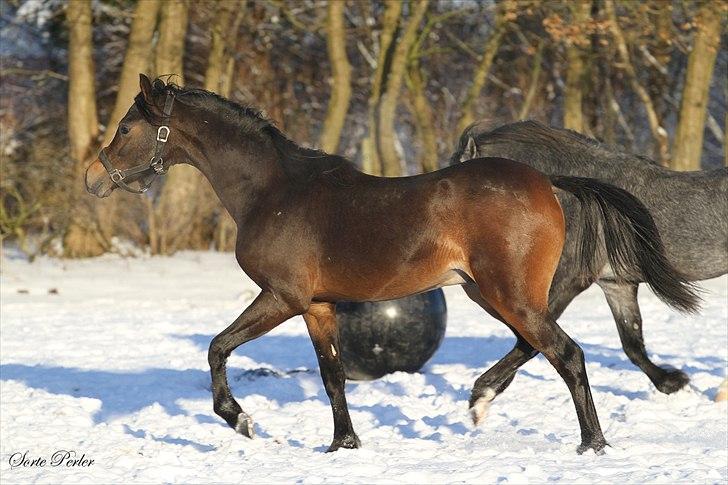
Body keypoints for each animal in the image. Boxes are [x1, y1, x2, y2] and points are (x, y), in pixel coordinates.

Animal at [452, 120, 725, 398]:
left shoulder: (571, 280)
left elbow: (530, 340)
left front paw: (487, 389)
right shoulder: (616, 284)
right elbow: (632, 344)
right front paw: (671, 382)